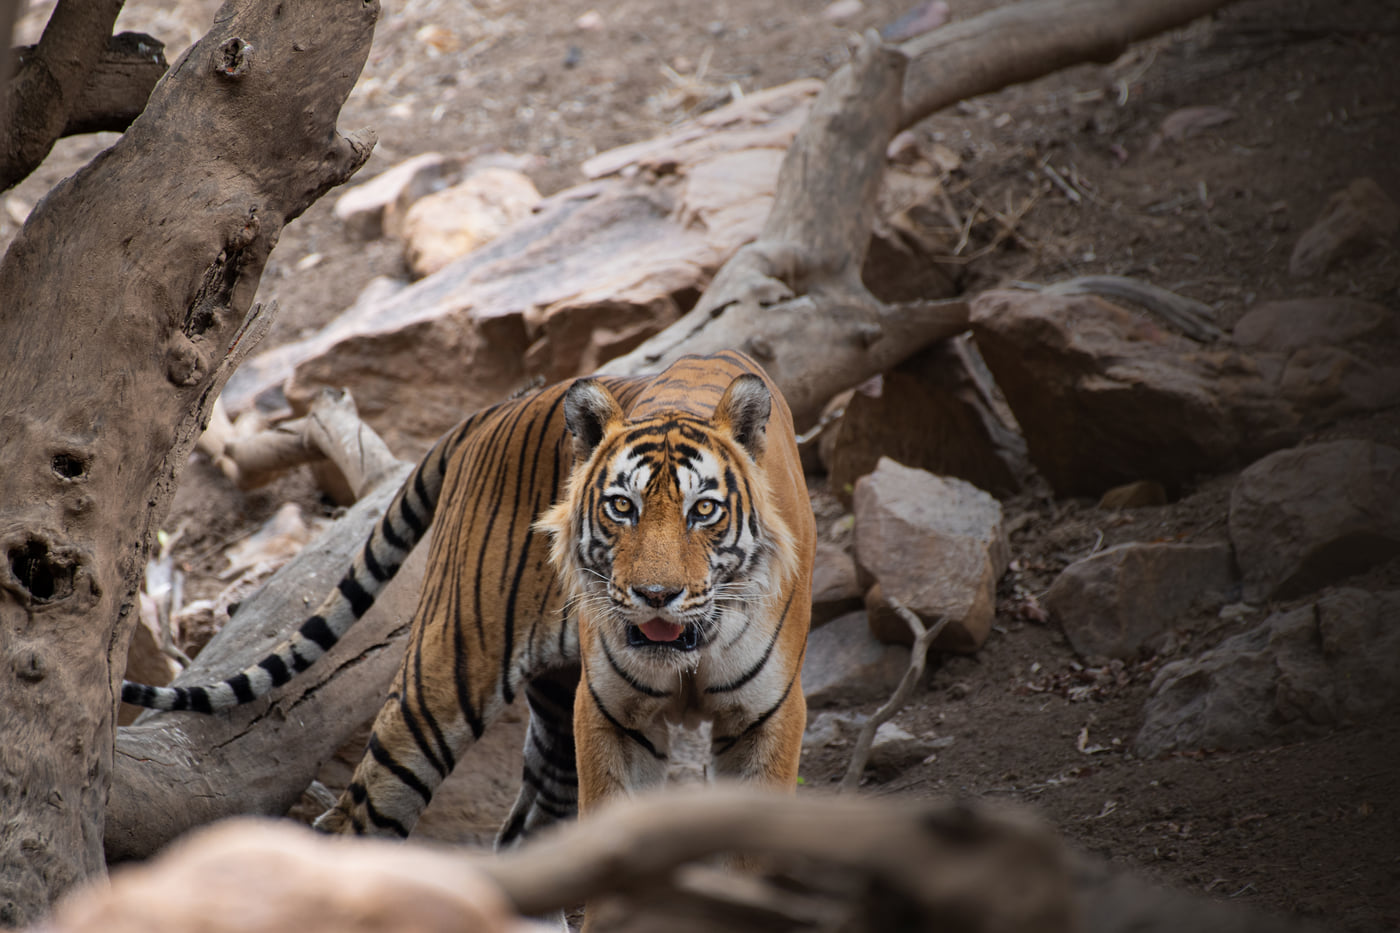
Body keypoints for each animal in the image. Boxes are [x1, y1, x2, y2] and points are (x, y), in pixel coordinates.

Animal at [122, 349, 815, 847]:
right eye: (623, 507)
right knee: (357, 819)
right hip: (444, 680)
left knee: (527, 832)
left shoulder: (765, 718)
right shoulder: (613, 716)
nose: (655, 596)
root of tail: (491, 412)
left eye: (705, 511)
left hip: (553, 713)